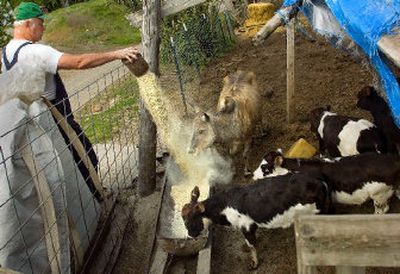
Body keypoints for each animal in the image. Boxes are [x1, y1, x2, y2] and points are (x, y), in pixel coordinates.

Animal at [182, 173, 332, 270]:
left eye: (190, 221)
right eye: (183, 219)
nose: (190, 236)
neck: (224, 206)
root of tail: (319, 182)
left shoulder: (246, 226)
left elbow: (252, 245)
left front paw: (254, 264)